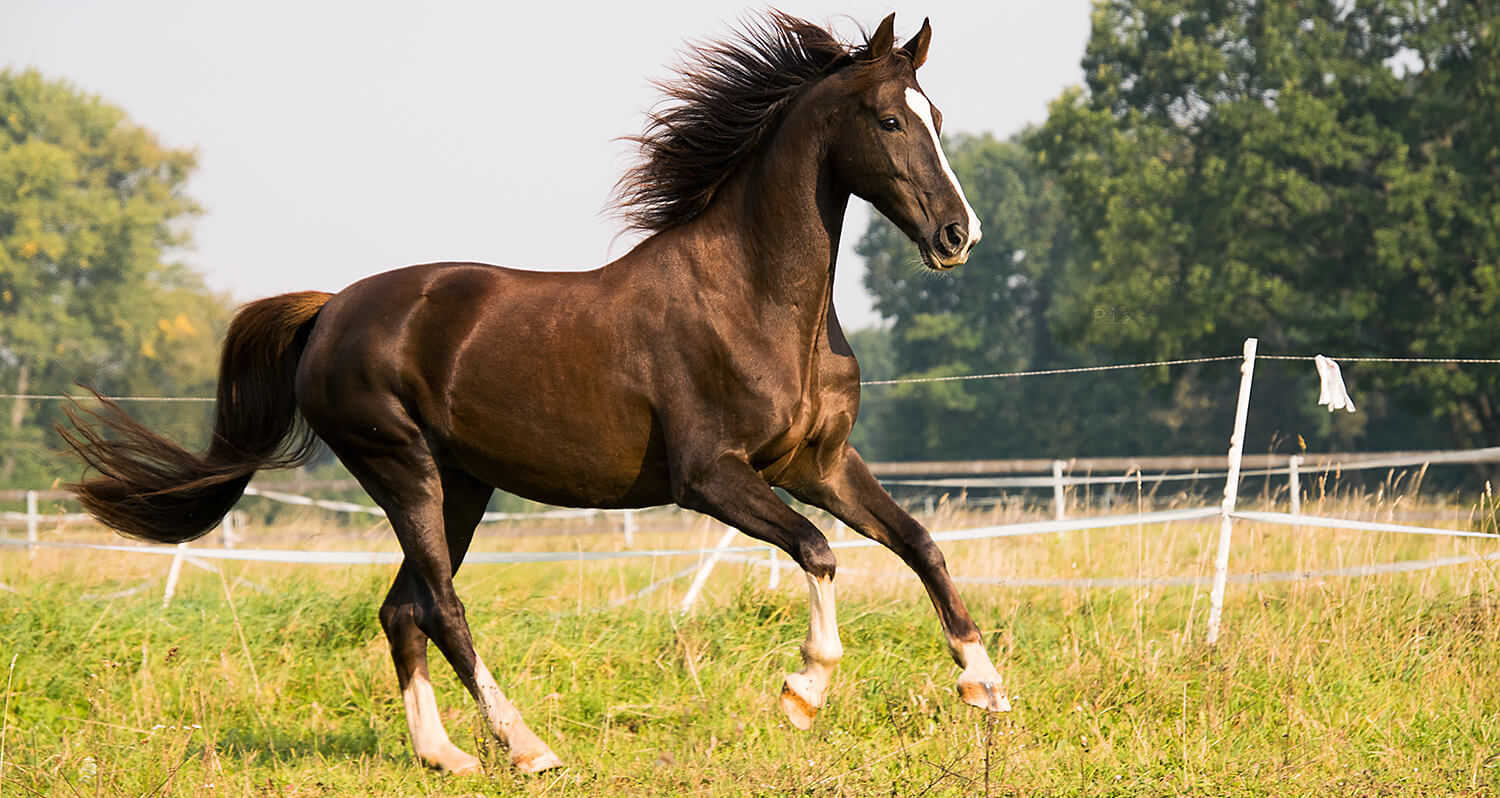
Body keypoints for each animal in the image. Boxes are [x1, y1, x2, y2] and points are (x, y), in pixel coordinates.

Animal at [67, 10, 1008, 774]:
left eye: (936, 117)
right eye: (889, 119)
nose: (957, 236)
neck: (755, 300)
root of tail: (330, 309)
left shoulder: (818, 463)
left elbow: (920, 543)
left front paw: (986, 686)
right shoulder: (711, 478)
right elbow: (818, 550)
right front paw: (803, 691)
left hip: (461, 485)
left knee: (401, 608)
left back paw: (445, 755)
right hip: (402, 469)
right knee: (441, 606)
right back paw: (526, 747)